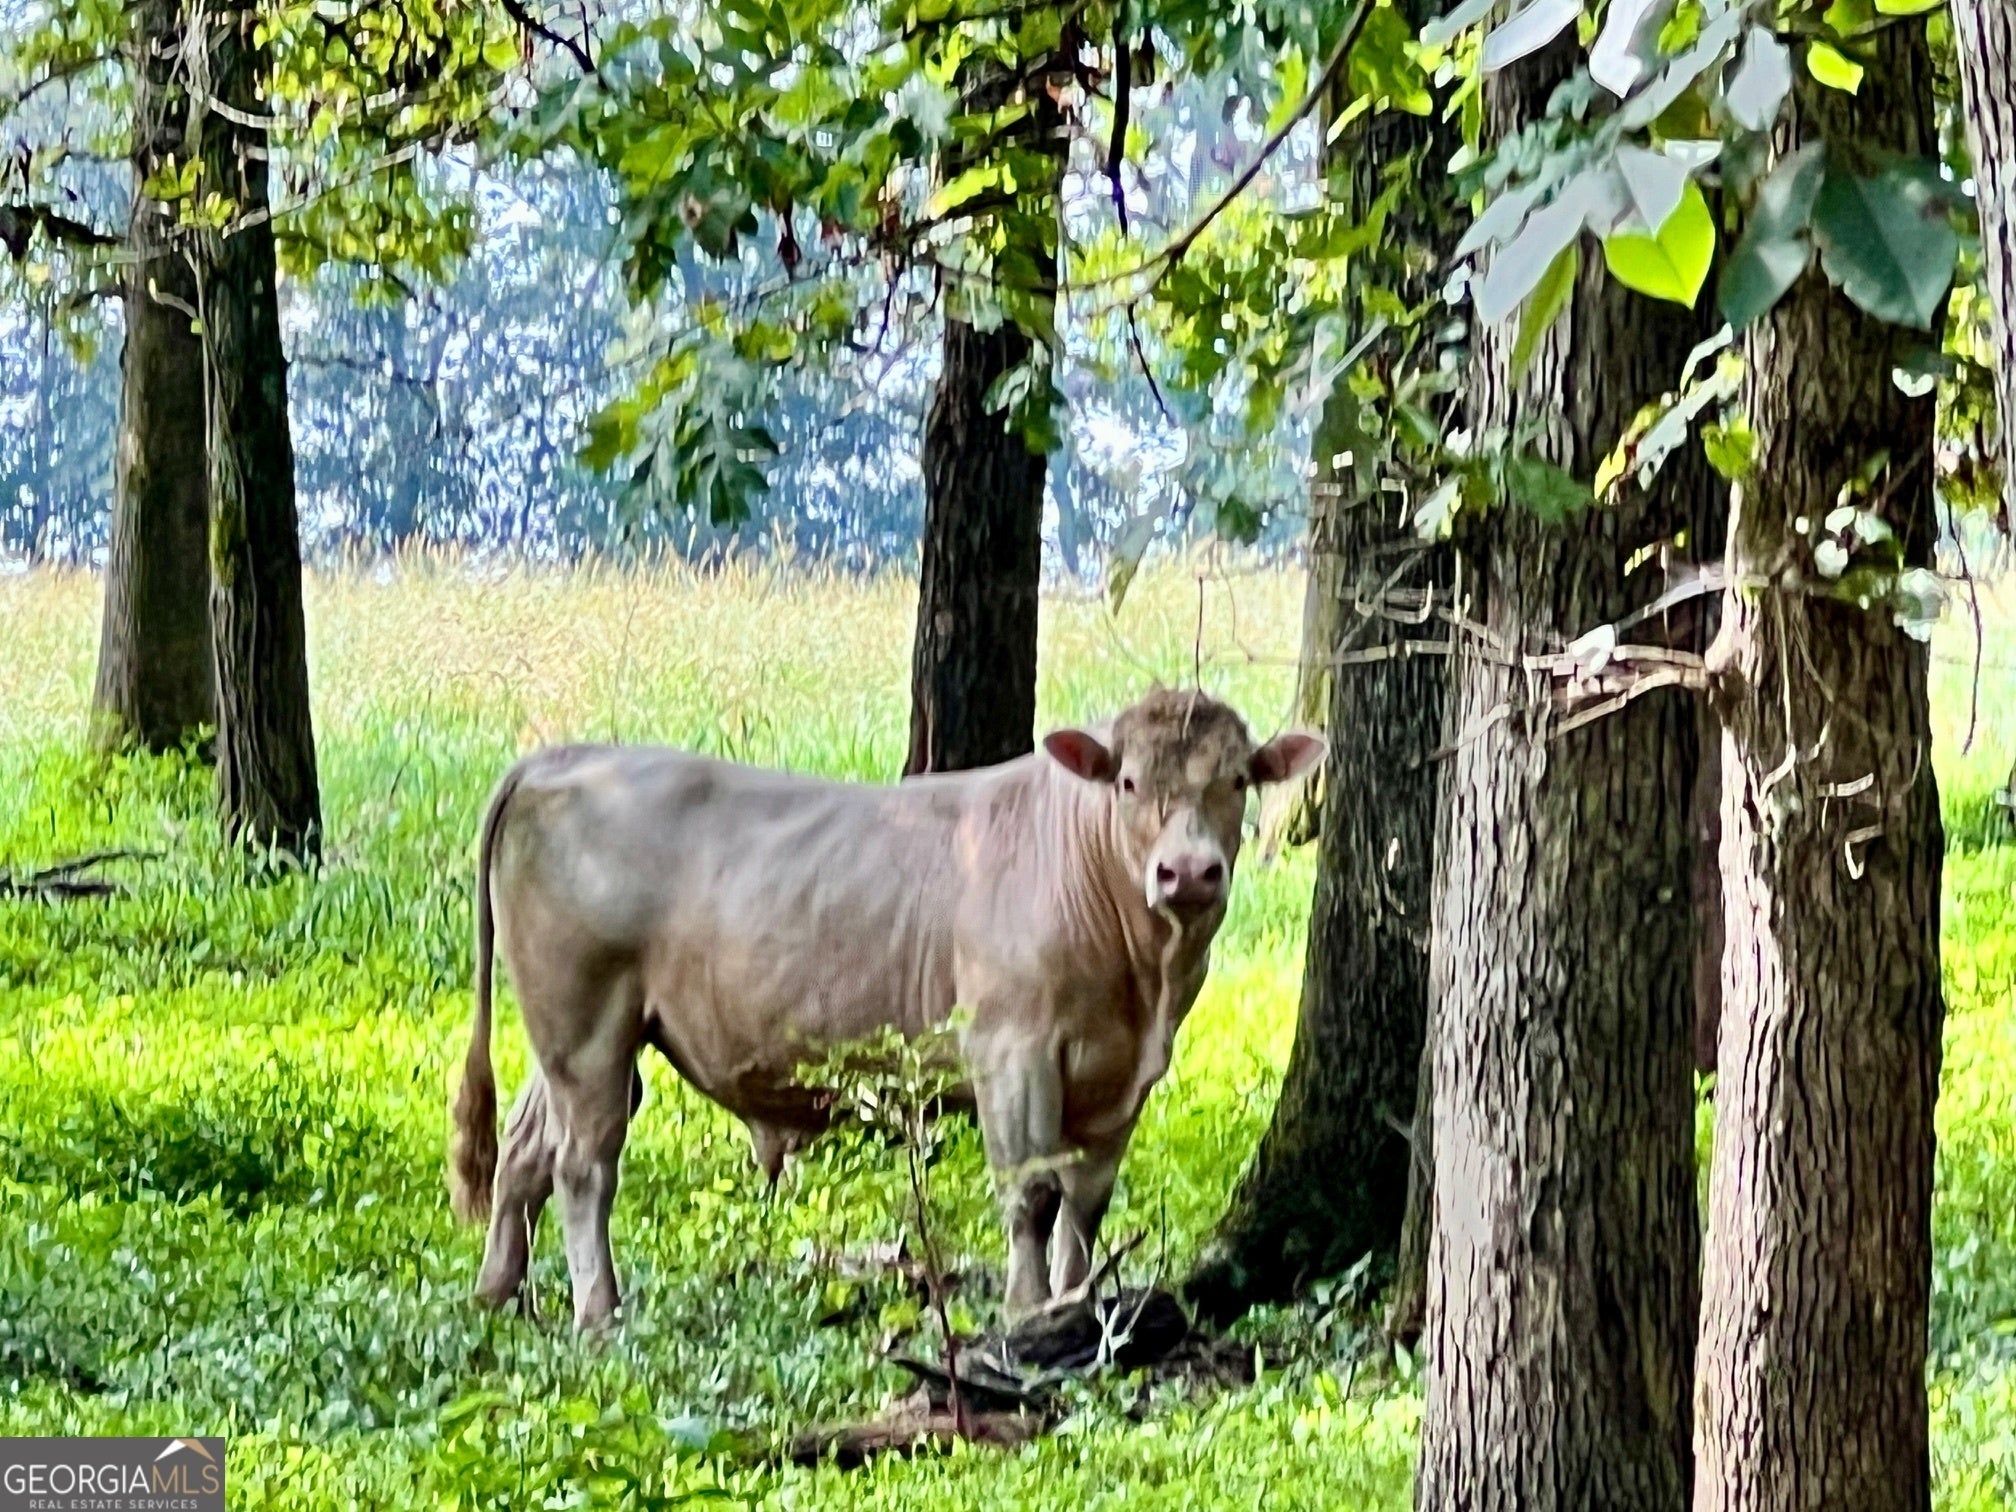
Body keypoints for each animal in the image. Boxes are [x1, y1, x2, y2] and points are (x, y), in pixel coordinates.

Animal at [447, 687, 1325, 1329]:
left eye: (1238, 780)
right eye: (1130, 782)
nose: (1188, 872)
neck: (1142, 982)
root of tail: (567, 757)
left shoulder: (1120, 1078)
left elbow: (1085, 1203)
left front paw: (1075, 1310)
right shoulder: (1012, 1050)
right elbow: (1032, 1194)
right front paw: (1027, 1313)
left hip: (581, 1032)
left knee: (526, 1148)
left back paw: (498, 1292)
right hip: (585, 1023)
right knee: (583, 1164)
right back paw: (598, 1313)